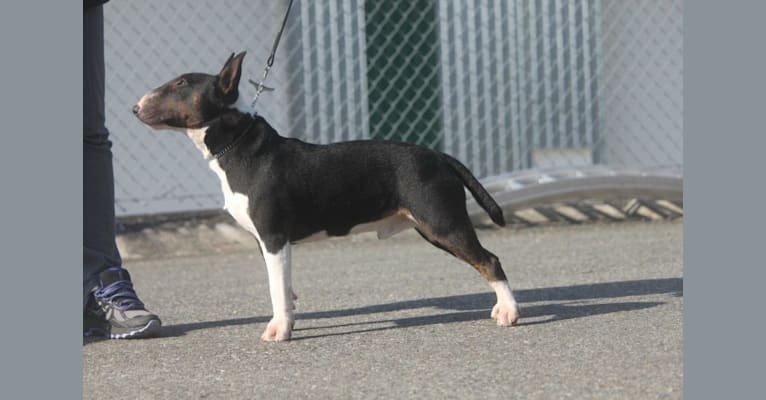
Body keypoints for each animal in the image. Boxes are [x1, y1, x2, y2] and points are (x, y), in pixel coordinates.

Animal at [134, 52, 520, 340]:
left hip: (442, 222)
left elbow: (275, 288)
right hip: (431, 227)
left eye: (181, 83)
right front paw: (289, 317)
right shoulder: (267, 242)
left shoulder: (273, 237)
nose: (135, 108)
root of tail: (440, 156)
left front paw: (279, 330)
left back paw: (509, 312)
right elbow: (283, 286)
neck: (237, 146)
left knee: (490, 260)